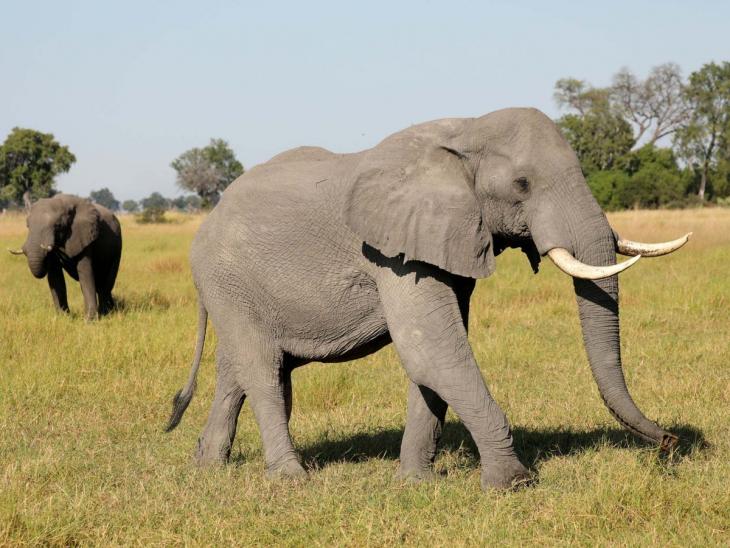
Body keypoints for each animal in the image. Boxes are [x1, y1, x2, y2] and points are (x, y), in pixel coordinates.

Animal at [165, 108, 690, 490]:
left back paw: (207, 467)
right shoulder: (391, 252)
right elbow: (431, 349)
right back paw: (291, 481)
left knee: (242, 370)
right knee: (262, 370)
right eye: (522, 185)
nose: (670, 443)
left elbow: (435, 358)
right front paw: (511, 484)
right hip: (226, 279)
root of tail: (207, 220)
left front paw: (416, 484)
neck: (466, 131)